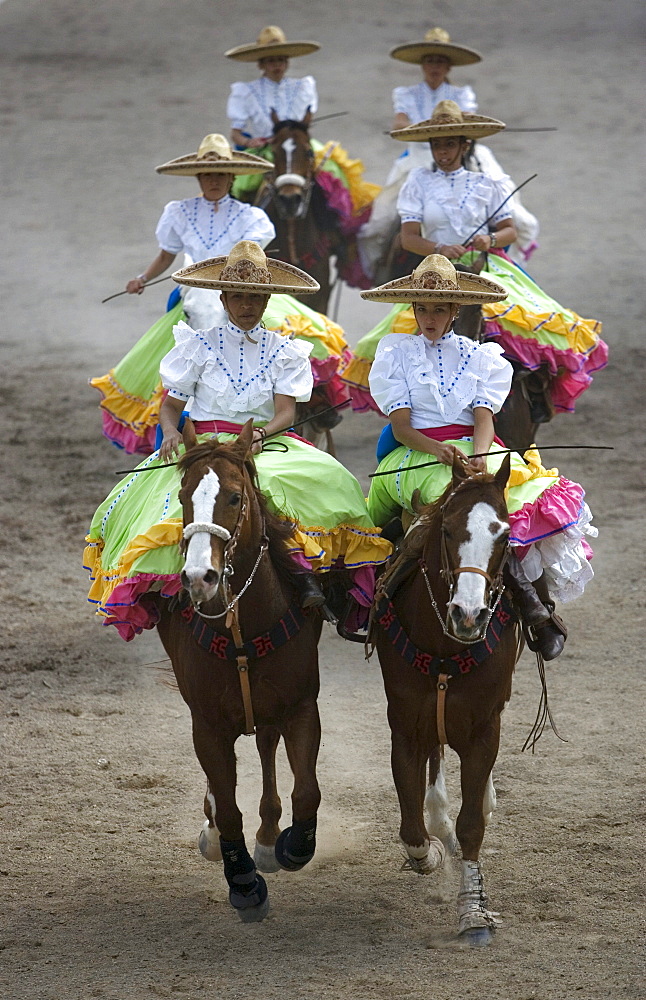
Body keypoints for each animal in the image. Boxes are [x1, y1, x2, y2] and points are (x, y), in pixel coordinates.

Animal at [153, 422, 324, 920]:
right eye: (183, 495)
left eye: (233, 496)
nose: (199, 577)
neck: (242, 626)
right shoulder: (207, 723)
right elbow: (228, 806)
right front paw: (243, 880)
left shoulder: (301, 706)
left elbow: (306, 790)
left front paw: (290, 846)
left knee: (266, 746)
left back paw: (268, 836)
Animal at [372, 456, 524, 944]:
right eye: (449, 530)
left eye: (505, 534)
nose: (469, 614)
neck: (444, 646)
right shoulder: (405, 726)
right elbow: (412, 828)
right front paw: (432, 853)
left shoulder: (483, 728)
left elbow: (472, 822)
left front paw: (474, 912)